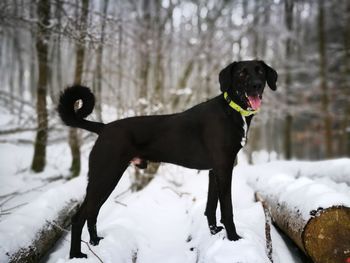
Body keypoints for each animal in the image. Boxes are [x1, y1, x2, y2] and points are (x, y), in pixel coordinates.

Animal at [59, 60, 278, 260]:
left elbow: (210, 206)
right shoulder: (224, 169)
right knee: (78, 217)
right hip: (105, 176)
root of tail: (104, 128)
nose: (257, 85)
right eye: (241, 73)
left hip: (104, 179)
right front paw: (233, 238)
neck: (232, 110)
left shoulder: (214, 171)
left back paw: (96, 242)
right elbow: (227, 209)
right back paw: (76, 255)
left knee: (92, 213)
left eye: (260, 71)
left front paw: (214, 232)